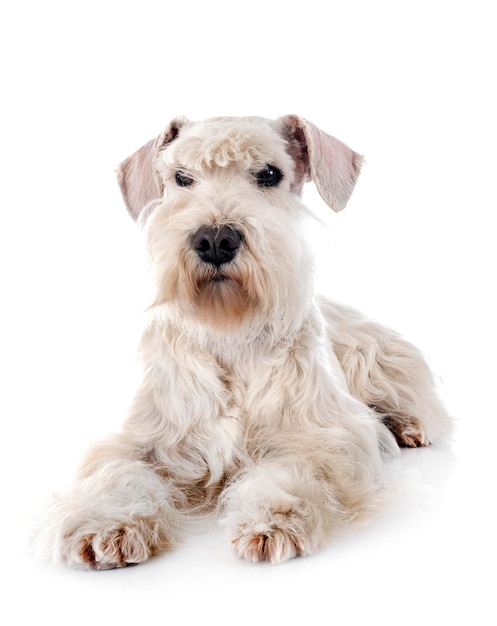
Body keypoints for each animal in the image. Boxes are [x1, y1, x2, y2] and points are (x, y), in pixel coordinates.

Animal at [34, 113, 454, 564]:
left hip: (378, 358)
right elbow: (117, 472)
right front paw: (106, 522)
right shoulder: (141, 438)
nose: (216, 240)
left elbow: (298, 468)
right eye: (181, 177)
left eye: (269, 174)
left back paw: (408, 426)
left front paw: (274, 518)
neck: (229, 332)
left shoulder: (325, 435)